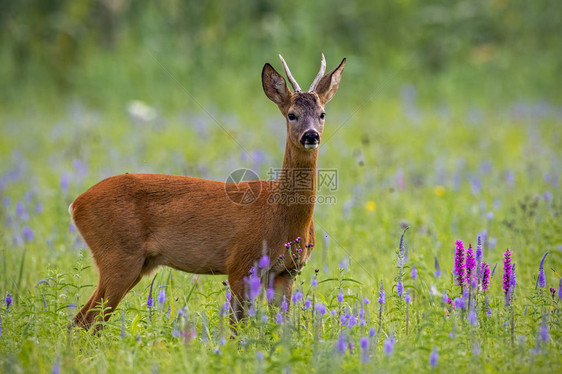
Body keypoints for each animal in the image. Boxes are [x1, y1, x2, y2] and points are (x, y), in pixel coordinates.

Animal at [68, 53, 344, 330]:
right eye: (291, 114)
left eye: (322, 113)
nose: (311, 135)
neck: (282, 214)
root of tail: (76, 204)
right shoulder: (240, 264)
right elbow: (236, 329)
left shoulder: (286, 273)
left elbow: (283, 327)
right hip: (118, 256)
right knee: (84, 321)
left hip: (136, 263)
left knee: (83, 321)